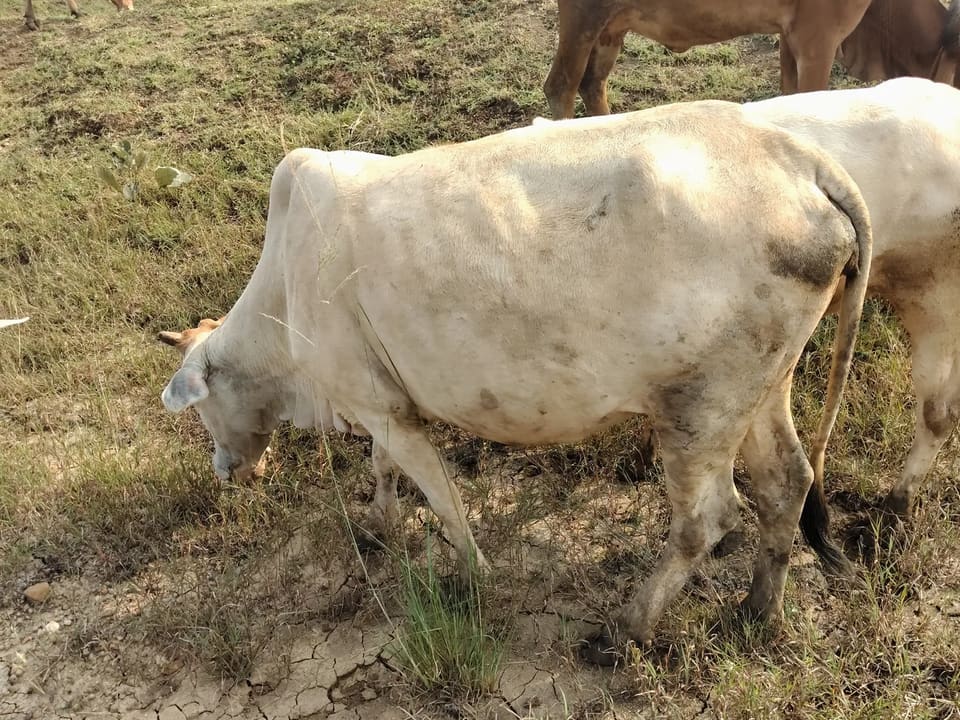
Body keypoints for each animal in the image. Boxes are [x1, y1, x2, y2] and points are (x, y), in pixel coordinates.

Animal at [160, 101, 872, 663]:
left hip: (700, 404)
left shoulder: (384, 409)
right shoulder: (382, 403)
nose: (226, 470)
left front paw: (474, 579)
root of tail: (800, 161)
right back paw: (757, 612)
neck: (284, 292)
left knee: (707, 518)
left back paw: (623, 632)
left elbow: (442, 499)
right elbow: (382, 467)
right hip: (760, 387)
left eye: (203, 411)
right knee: (787, 483)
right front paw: (378, 525)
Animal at [543, 0, 960, 119]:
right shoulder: (819, 42)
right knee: (560, 87)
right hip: (585, 16)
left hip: (610, 27)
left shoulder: (792, 37)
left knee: (591, 84)